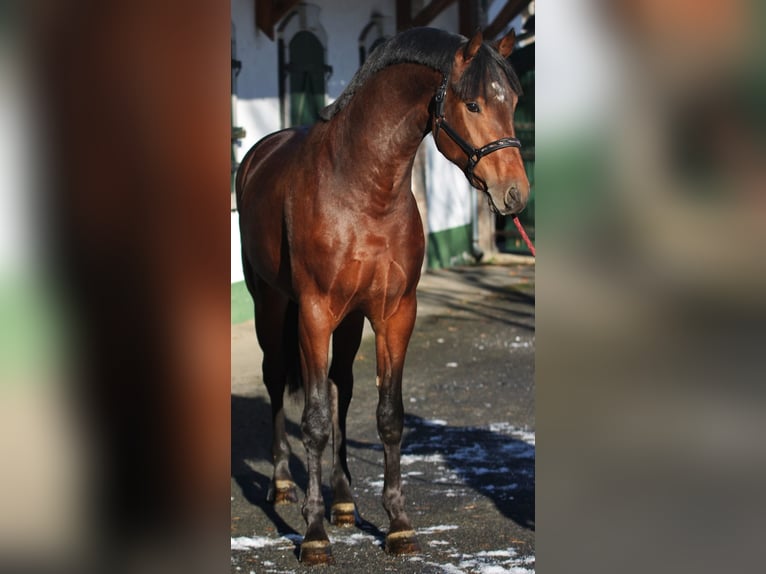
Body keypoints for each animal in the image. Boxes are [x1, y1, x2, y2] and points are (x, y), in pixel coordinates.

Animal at [237, 25, 532, 568]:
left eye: (515, 100)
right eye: (474, 104)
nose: (515, 195)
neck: (362, 189)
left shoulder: (395, 313)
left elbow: (388, 416)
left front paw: (397, 525)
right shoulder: (314, 313)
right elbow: (313, 422)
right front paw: (314, 535)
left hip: (351, 320)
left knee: (341, 387)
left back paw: (345, 501)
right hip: (271, 303)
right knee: (276, 380)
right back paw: (283, 484)